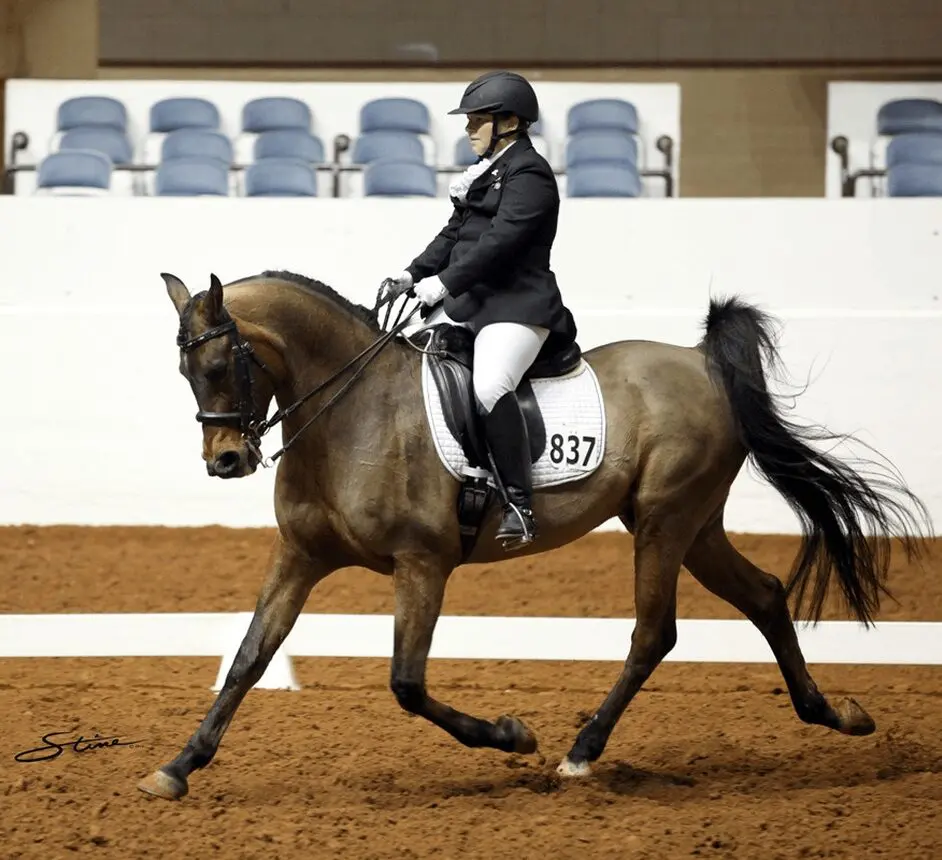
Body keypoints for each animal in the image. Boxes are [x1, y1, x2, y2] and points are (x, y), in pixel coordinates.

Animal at [137, 269, 931, 801]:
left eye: (221, 363)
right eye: (183, 370)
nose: (226, 461)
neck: (351, 412)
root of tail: (701, 361)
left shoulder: (423, 564)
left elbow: (406, 683)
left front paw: (513, 735)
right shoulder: (301, 557)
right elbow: (248, 658)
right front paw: (176, 769)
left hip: (667, 520)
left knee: (655, 631)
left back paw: (580, 753)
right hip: (693, 524)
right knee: (764, 595)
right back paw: (837, 715)